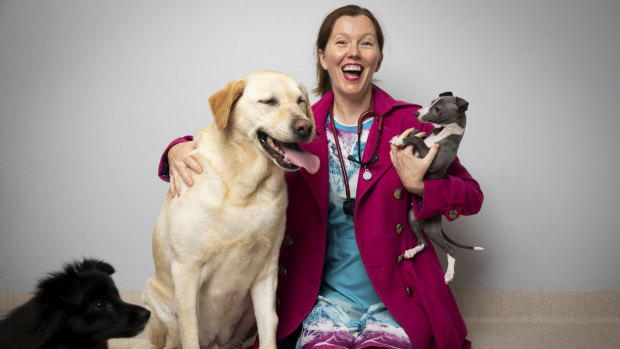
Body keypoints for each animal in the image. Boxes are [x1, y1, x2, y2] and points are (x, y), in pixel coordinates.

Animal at [390, 91, 482, 282]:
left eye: (438, 109)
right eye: (432, 102)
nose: (416, 113)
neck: (443, 133)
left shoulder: (431, 160)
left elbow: (417, 140)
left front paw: (401, 140)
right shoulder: (428, 136)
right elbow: (418, 133)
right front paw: (400, 137)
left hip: (432, 229)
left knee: (451, 249)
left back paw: (449, 274)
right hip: (412, 218)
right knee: (423, 243)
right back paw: (411, 251)